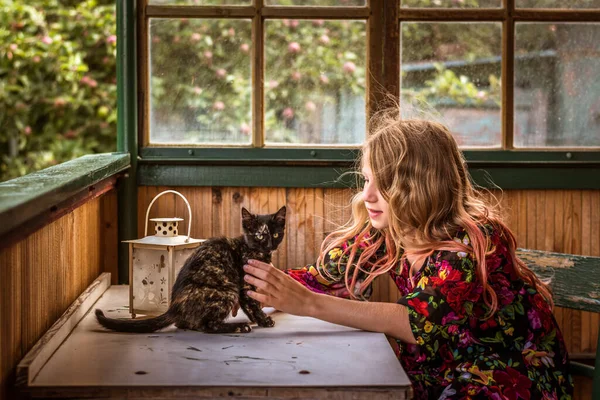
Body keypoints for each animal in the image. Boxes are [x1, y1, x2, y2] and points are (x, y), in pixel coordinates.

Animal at [95, 206, 288, 334]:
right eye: (260, 235)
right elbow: (252, 303)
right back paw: (238, 327)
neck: (253, 251)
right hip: (227, 290)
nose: (269, 246)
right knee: (208, 326)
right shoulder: (244, 284)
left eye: (276, 234)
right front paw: (263, 320)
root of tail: (174, 307)